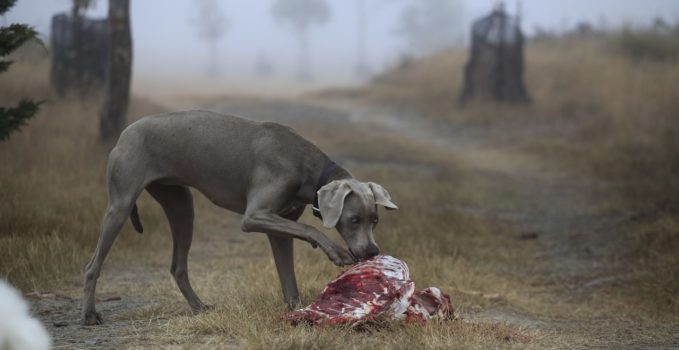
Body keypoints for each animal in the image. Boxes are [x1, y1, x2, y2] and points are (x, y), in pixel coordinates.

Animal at [82, 109, 398, 326]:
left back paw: (199, 307)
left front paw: (297, 312)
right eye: (354, 219)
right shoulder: (255, 216)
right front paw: (336, 252)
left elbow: (288, 276)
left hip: (181, 205)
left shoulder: (278, 226)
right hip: (121, 204)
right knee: (92, 265)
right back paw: (89, 315)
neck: (308, 167)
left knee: (178, 265)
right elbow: (310, 229)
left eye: (375, 220)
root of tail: (125, 132)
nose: (373, 251)